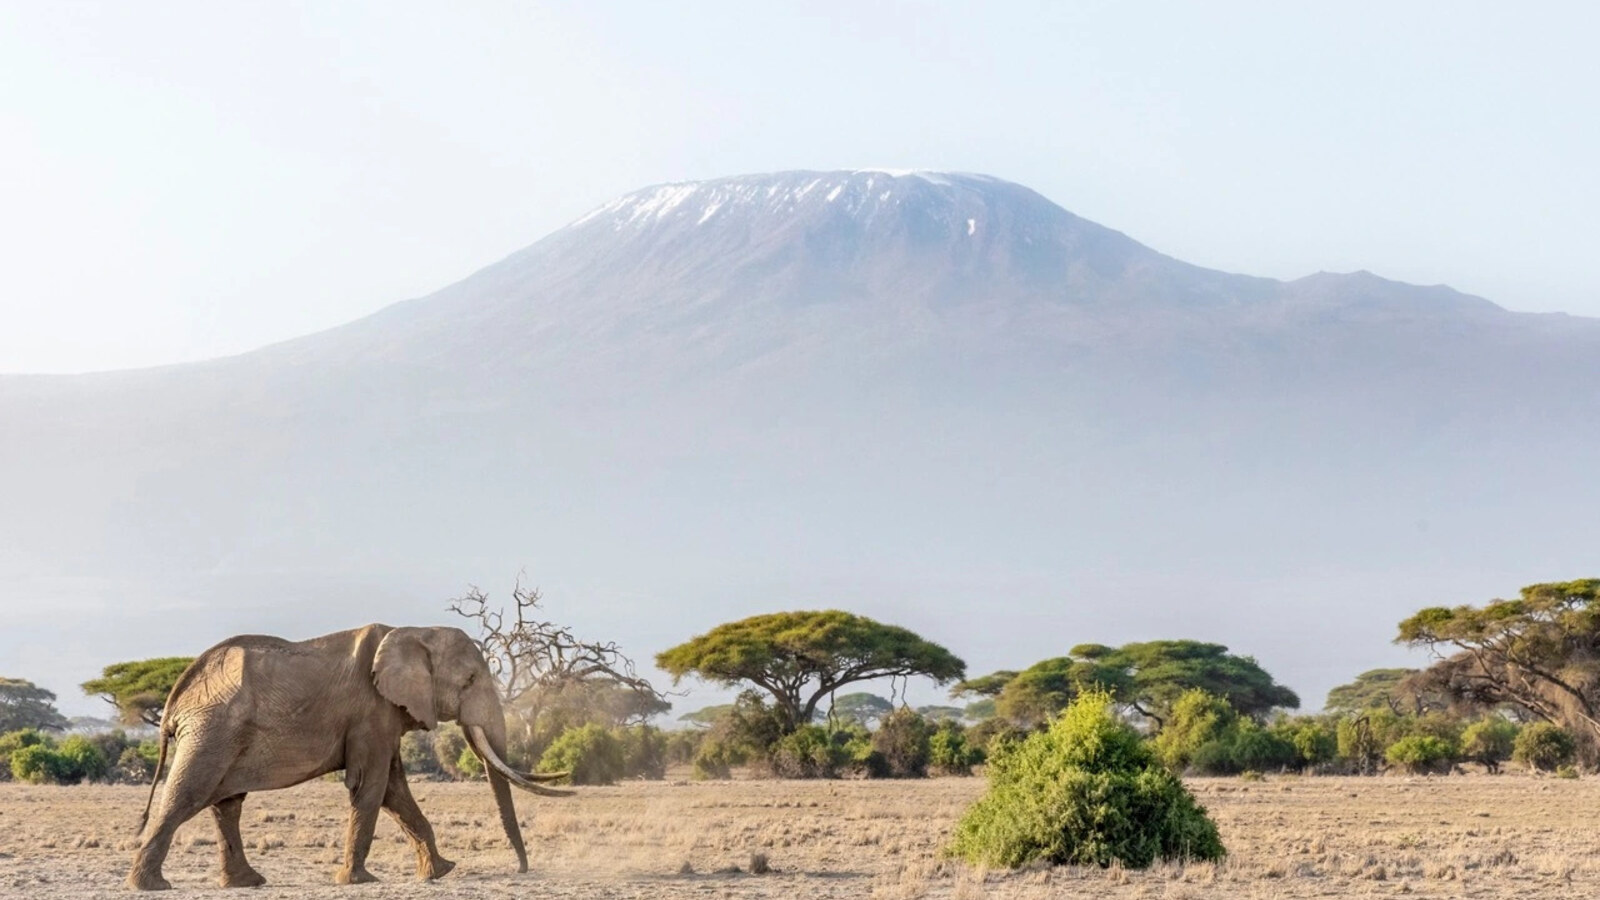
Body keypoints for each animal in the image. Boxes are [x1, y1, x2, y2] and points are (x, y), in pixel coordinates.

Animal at [126, 623, 571, 890]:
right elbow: (371, 786)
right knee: (188, 794)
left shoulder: (384, 715)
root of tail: (176, 697)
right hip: (213, 729)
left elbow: (394, 790)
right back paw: (151, 886)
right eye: (471, 680)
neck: (413, 631)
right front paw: (359, 880)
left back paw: (247, 883)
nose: (521, 870)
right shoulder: (370, 711)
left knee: (226, 803)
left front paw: (441, 871)